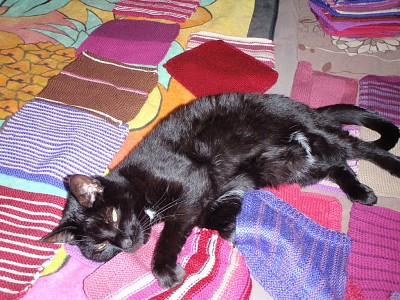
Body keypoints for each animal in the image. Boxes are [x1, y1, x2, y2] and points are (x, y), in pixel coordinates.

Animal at [41, 93, 400, 288]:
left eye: (114, 215)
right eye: (100, 247)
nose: (126, 244)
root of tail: (307, 108)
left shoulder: (193, 182)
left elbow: (172, 233)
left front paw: (165, 270)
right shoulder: (216, 194)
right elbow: (212, 218)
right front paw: (231, 232)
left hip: (313, 135)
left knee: (362, 149)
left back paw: (388, 171)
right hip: (292, 164)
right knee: (336, 162)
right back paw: (358, 191)